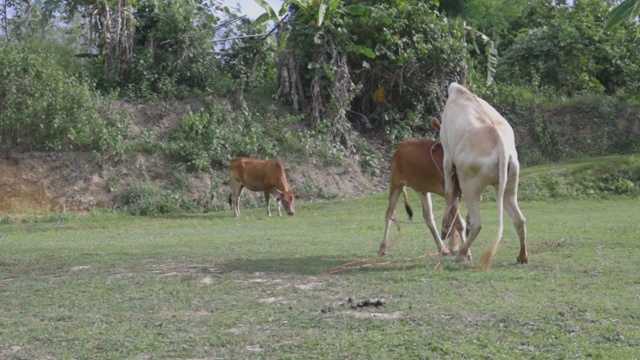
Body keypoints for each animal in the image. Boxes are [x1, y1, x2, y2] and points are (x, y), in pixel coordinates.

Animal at [442, 83, 528, 270]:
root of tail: (501, 148)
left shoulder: (447, 155)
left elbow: (448, 192)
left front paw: (445, 226)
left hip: (468, 185)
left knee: (477, 223)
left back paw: (461, 254)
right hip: (509, 184)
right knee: (519, 219)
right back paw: (523, 257)